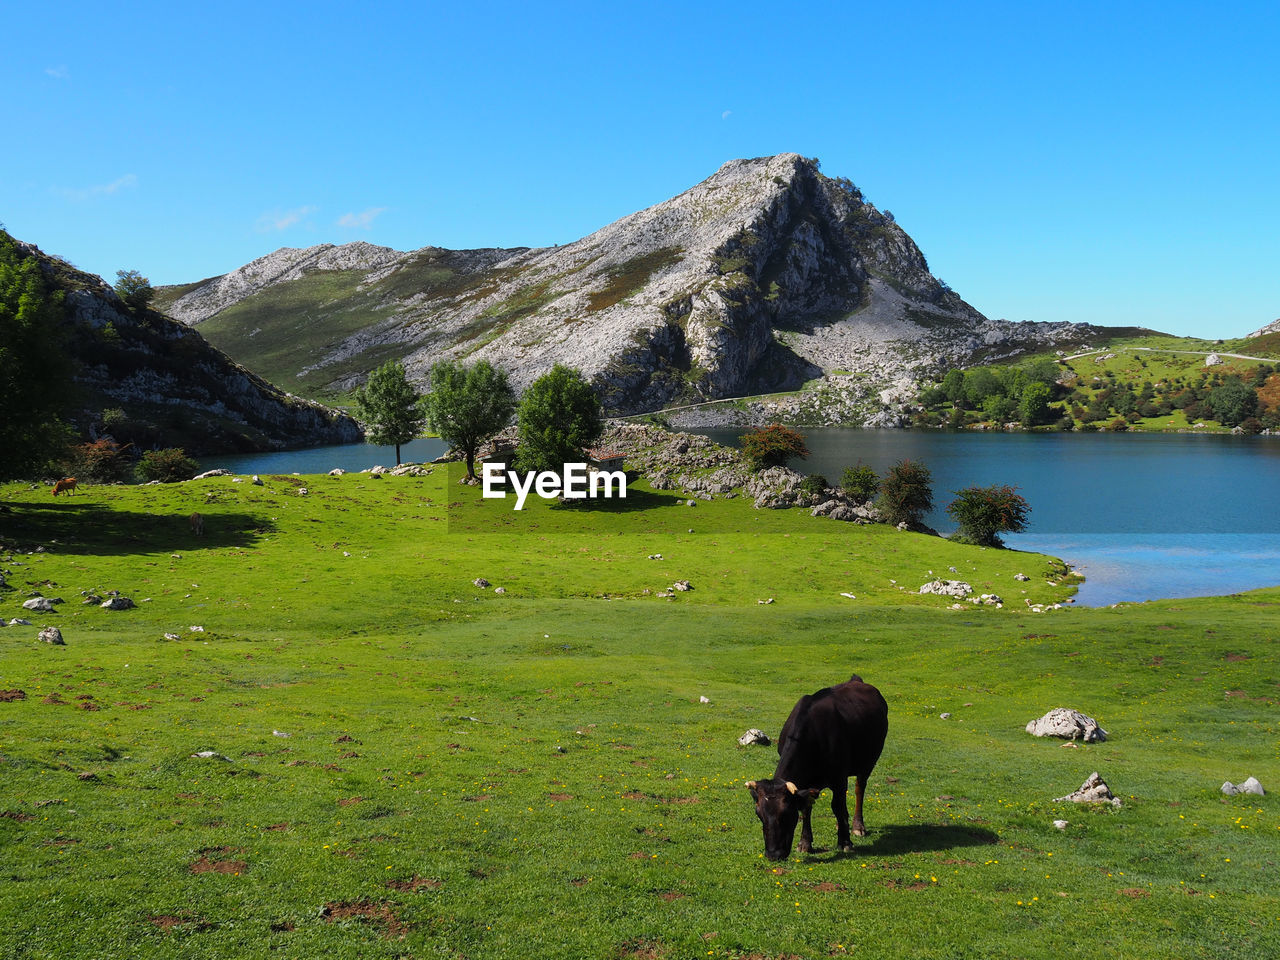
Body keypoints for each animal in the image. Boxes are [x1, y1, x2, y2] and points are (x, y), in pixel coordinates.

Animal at [747, 675, 885, 865]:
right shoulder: (805, 783)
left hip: (868, 762)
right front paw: (805, 843)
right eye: (759, 814)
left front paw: (845, 842)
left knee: (859, 789)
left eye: (787, 814)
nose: (773, 854)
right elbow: (807, 808)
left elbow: (837, 806)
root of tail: (857, 680)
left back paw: (857, 826)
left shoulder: (839, 778)